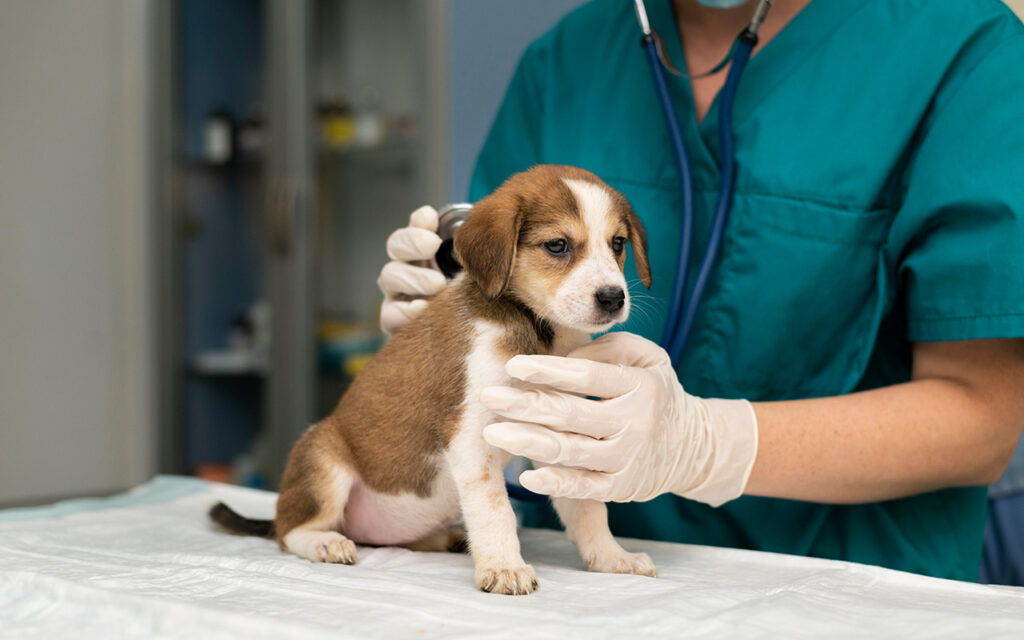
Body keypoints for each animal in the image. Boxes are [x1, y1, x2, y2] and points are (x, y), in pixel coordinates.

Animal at [209, 164, 655, 593]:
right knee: (289, 530)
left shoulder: (558, 434)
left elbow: (587, 509)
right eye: (558, 245)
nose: (613, 298)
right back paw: (325, 542)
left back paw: (449, 538)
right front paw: (504, 566)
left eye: (617, 244)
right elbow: (496, 510)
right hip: (322, 459)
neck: (537, 330)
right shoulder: (470, 437)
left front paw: (611, 556)